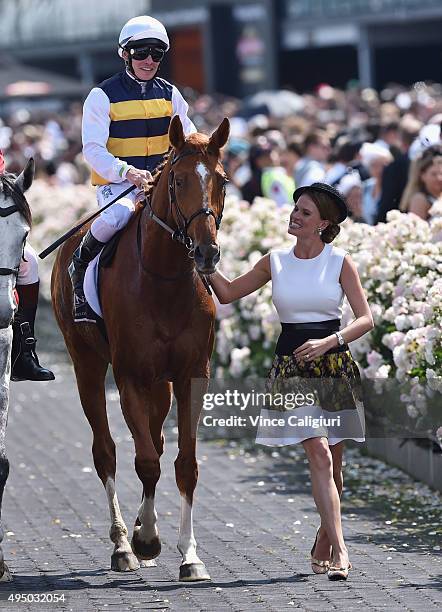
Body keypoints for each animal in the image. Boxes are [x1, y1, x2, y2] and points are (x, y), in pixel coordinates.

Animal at [51, 117, 230, 580]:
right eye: (179, 180)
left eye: (221, 179)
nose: (207, 252)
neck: (164, 279)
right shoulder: (129, 374)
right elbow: (145, 460)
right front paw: (144, 540)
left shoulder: (191, 375)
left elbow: (184, 463)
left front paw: (190, 555)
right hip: (87, 365)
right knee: (107, 452)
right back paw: (122, 544)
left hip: (160, 386)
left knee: (156, 440)